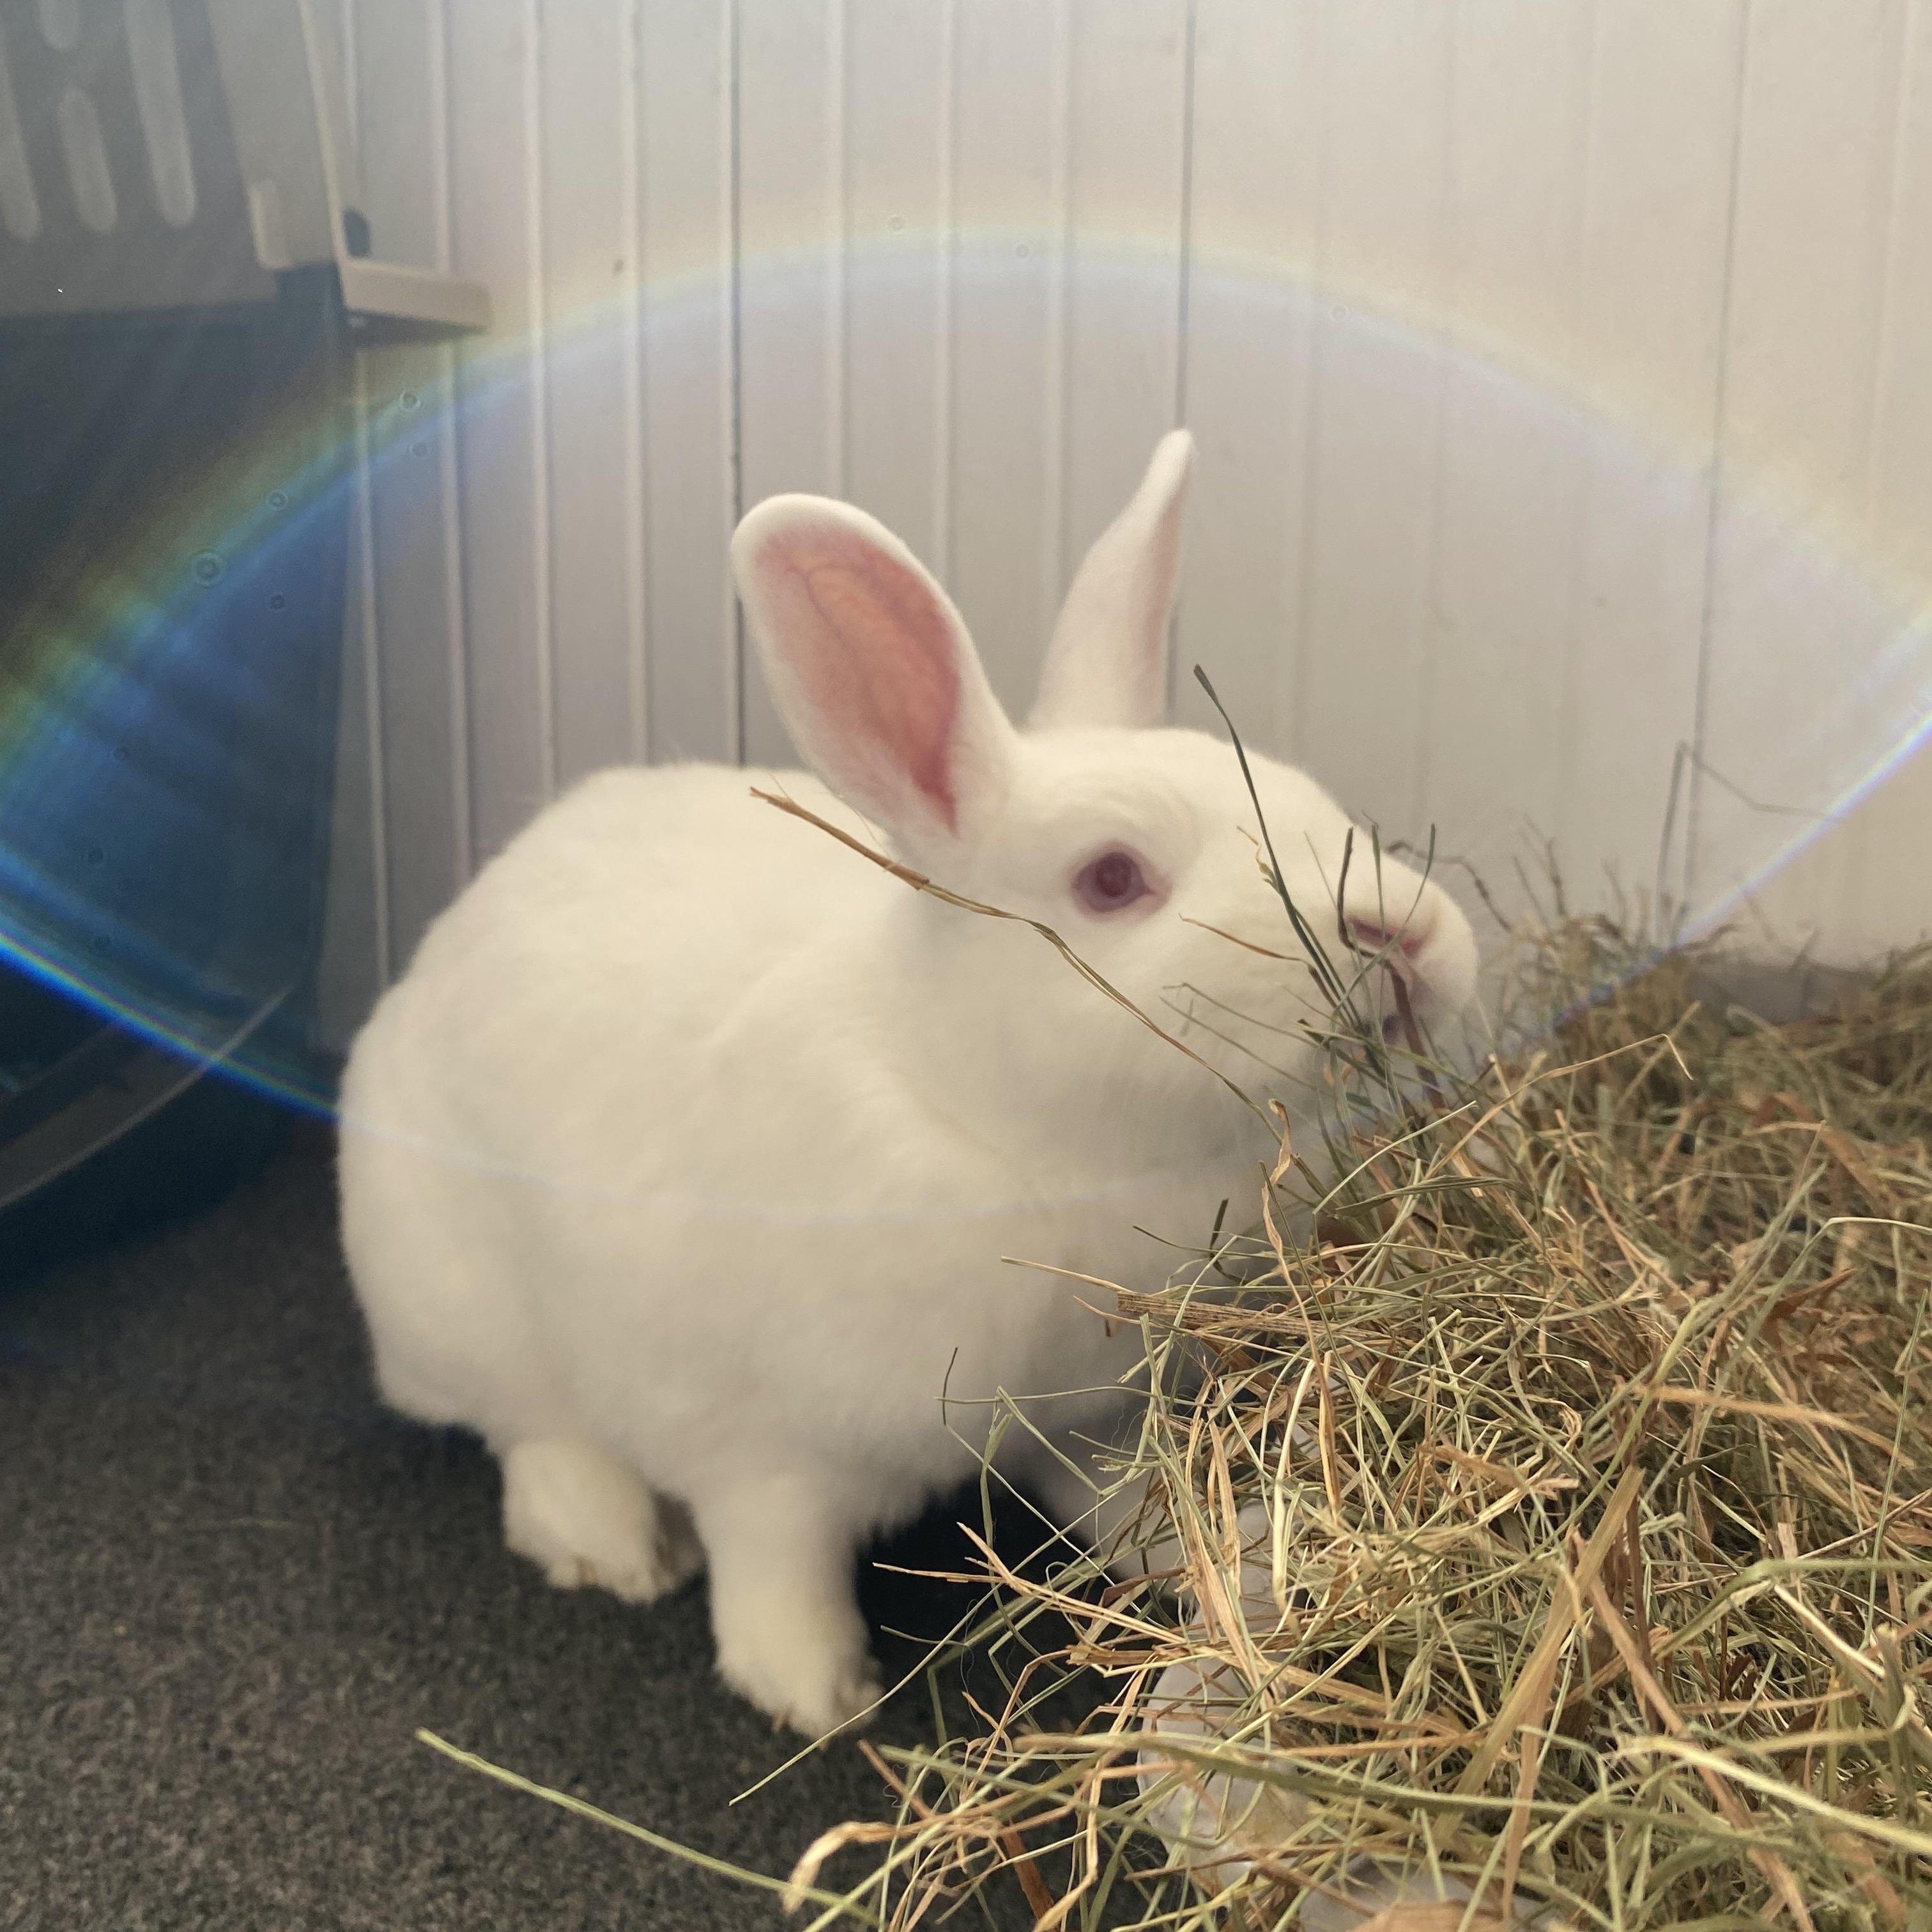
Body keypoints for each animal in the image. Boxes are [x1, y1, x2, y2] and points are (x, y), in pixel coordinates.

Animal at [334, 429, 1480, 1738]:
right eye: (1111, 879)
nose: (1402, 934)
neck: (1019, 1132)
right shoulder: (766, 1451)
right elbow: (772, 1560)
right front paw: (815, 1691)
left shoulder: (1090, 1407)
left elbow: (1113, 1488)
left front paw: (1208, 1549)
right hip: (455, 1297)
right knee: (525, 1427)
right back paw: (612, 1543)